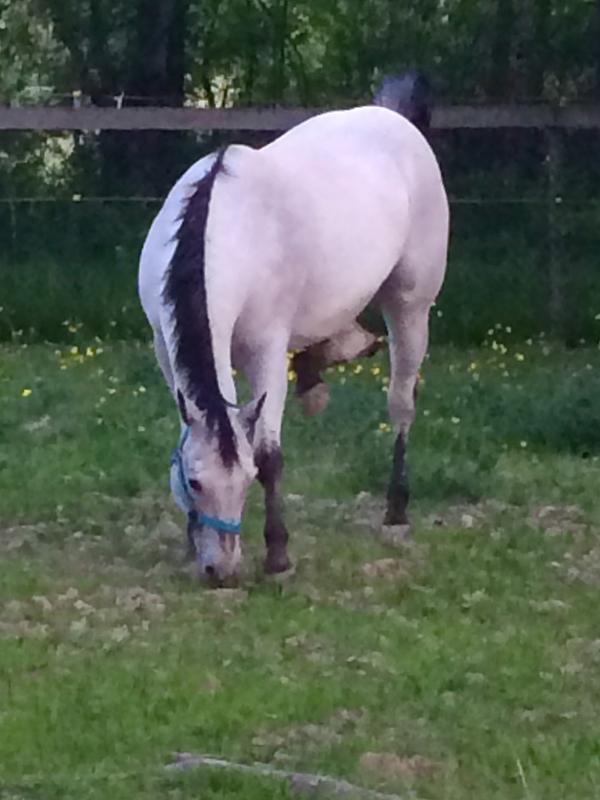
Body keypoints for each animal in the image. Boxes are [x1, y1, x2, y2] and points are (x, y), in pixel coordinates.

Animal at [138, 72, 449, 583]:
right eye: (195, 482)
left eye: (246, 481)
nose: (221, 571)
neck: (228, 228)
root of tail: (396, 117)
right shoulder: (165, 347)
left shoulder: (266, 348)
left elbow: (270, 454)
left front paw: (278, 554)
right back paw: (320, 373)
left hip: (410, 304)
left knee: (402, 402)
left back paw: (396, 508)